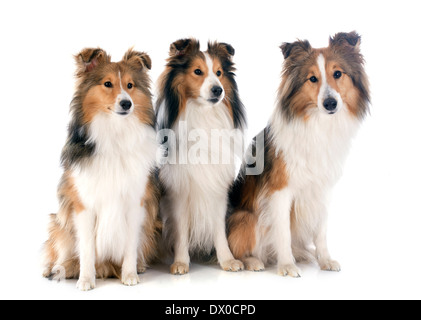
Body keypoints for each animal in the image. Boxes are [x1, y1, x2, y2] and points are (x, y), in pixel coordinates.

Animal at [42, 47, 161, 290]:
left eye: (130, 85)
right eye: (107, 84)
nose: (126, 104)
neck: (115, 132)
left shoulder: (135, 202)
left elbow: (130, 245)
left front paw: (129, 274)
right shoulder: (84, 205)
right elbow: (87, 248)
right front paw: (86, 280)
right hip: (58, 223)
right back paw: (57, 268)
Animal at [155, 38, 246, 274]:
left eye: (219, 72)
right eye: (197, 71)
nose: (218, 90)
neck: (204, 116)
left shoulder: (217, 187)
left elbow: (218, 228)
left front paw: (227, 259)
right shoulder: (178, 190)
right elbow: (180, 230)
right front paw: (180, 262)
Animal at [228, 33, 370, 278]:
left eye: (337, 73)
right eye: (312, 78)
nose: (330, 103)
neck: (318, 125)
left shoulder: (322, 191)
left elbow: (321, 232)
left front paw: (325, 260)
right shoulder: (280, 191)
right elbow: (283, 232)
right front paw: (286, 265)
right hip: (246, 217)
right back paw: (254, 261)